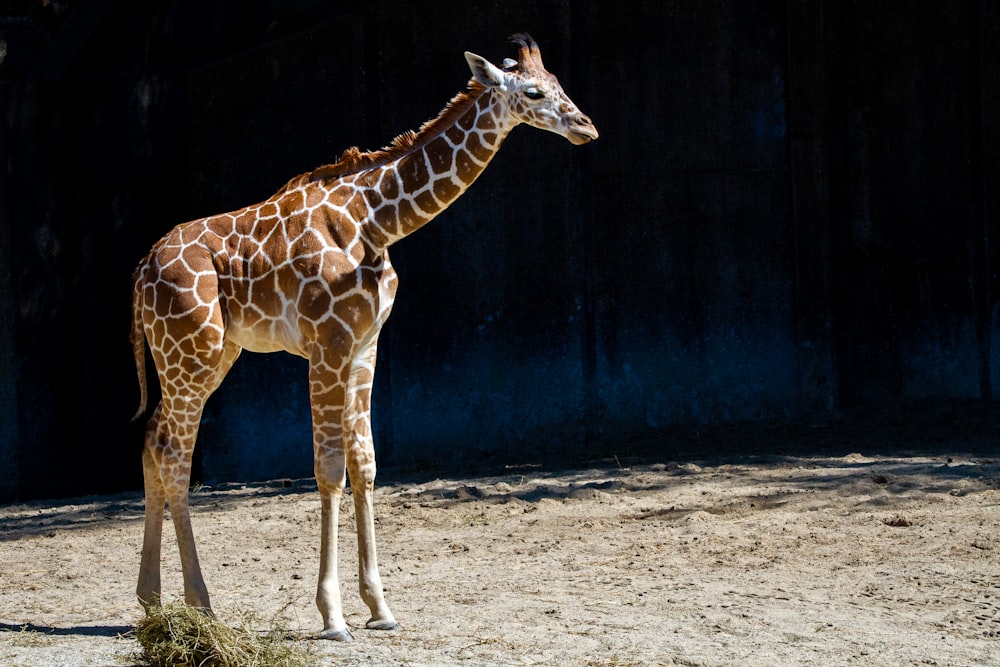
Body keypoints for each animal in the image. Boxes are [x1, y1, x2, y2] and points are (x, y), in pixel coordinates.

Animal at [131, 32, 600, 640]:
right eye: (535, 91)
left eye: (559, 83)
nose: (587, 126)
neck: (377, 219)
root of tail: (141, 270)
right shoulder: (325, 345)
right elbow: (330, 470)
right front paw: (333, 616)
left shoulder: (365, 345)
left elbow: (367, 465)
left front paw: (380, 607)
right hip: (192, 352)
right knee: (174, 456)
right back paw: (201, 606)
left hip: (202, 356)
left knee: (153, 442)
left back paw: (151, 602)